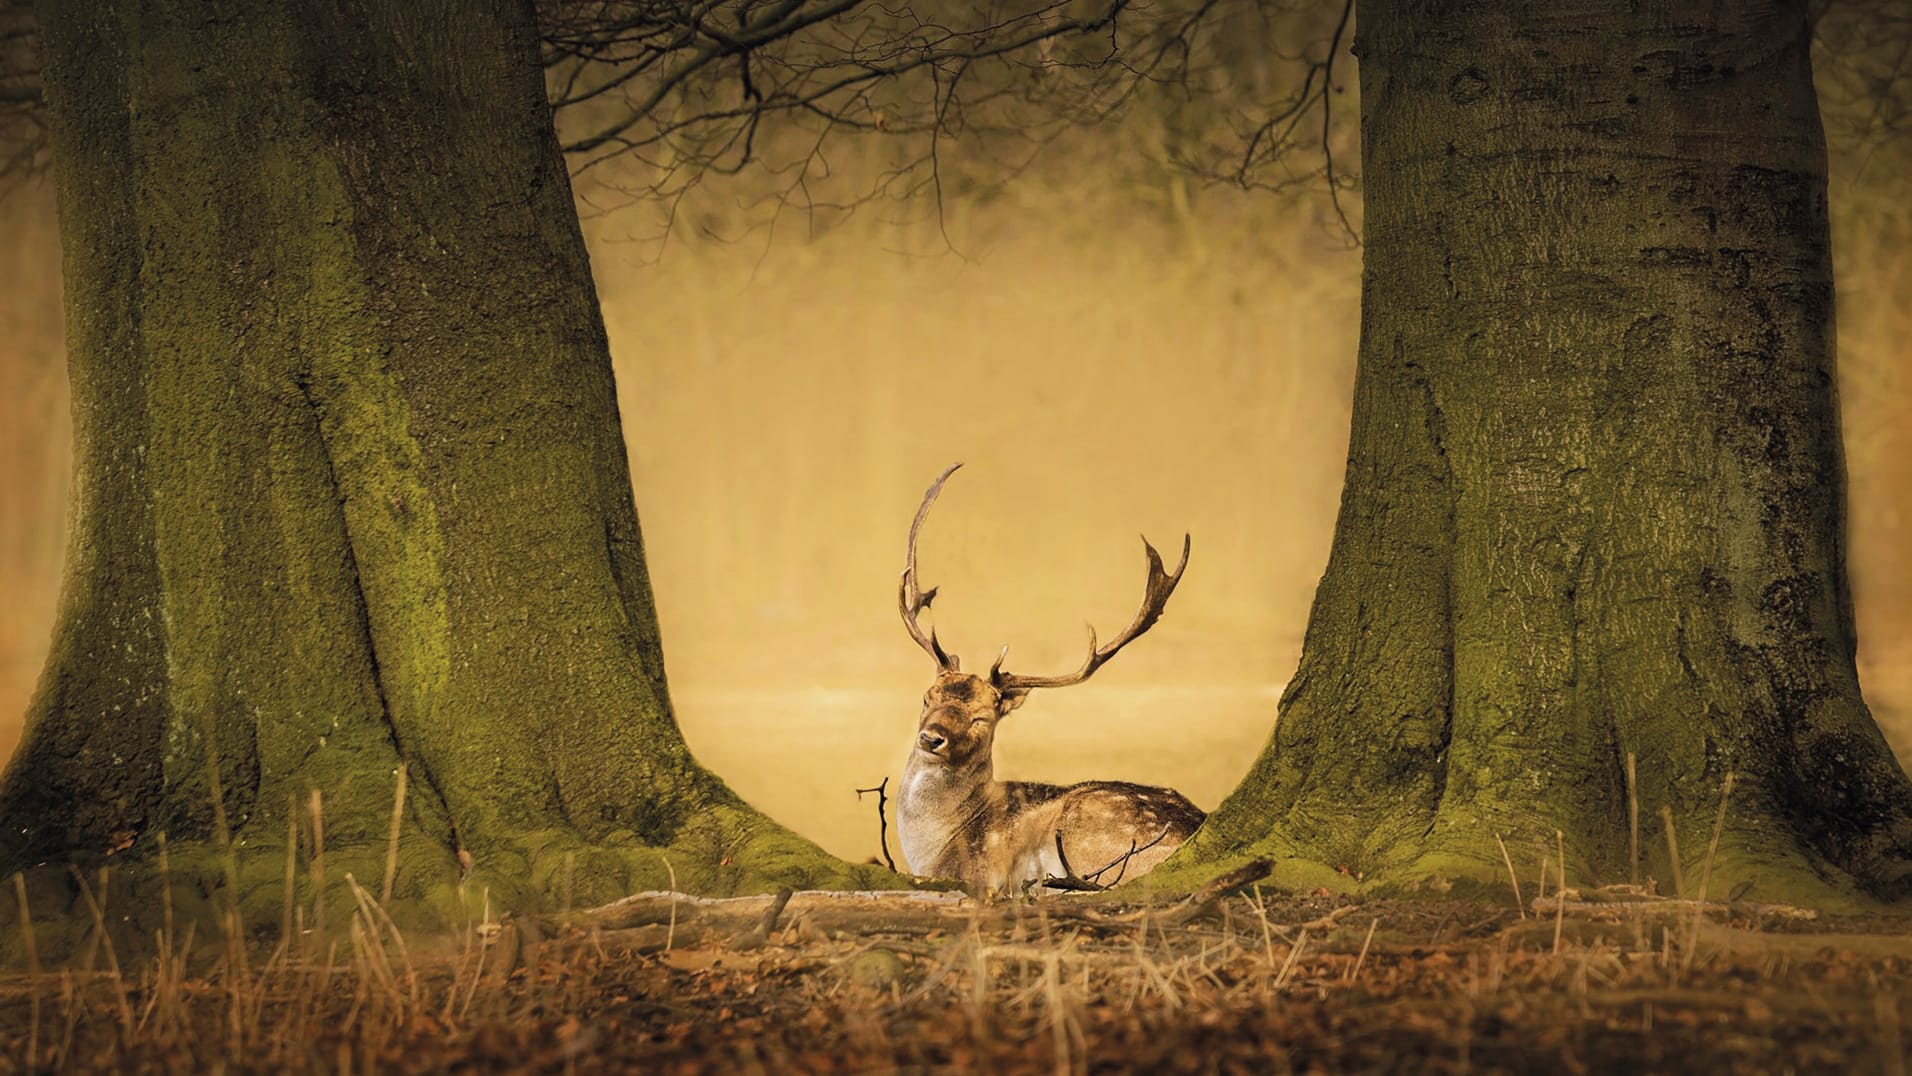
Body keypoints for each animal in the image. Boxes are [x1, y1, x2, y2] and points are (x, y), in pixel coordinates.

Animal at [898, 462, 1200, 894]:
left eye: (982, 718)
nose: (931, 737)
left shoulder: (978, 875)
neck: (932, 848)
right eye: (927, 696)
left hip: (1090, 832)